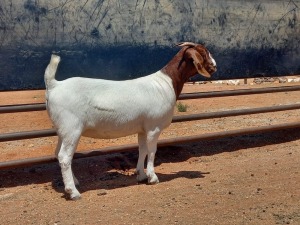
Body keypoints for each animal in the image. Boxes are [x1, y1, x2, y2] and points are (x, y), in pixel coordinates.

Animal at [44, 41, 217, 199]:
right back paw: (73, 192)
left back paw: (74, 182)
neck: (166, 83)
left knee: (59, 153)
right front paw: (153, 177)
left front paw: (141, 175)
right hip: (72, 128)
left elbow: (143, 150)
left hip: (63, 130)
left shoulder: (143, 129)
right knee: (65, 157)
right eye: (204, 52)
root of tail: (54, 85)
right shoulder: (154, 127)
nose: (214, 66)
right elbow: (152, 151)